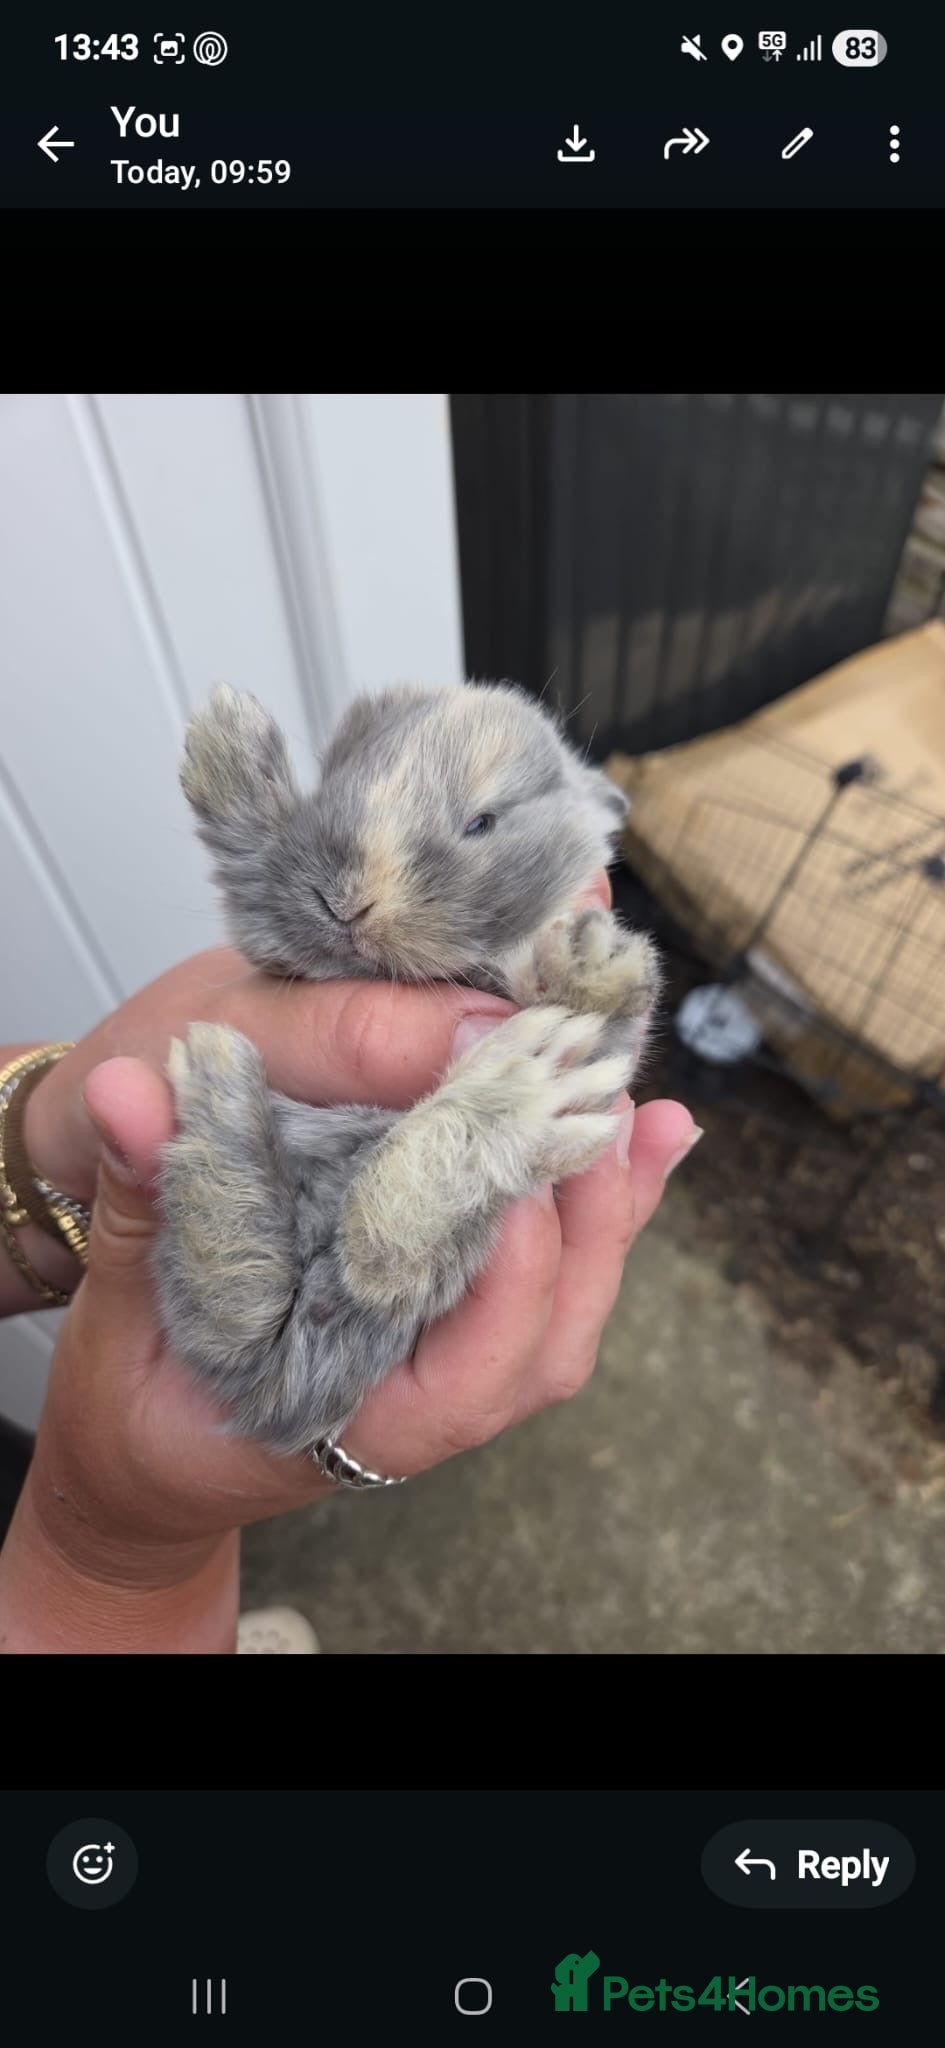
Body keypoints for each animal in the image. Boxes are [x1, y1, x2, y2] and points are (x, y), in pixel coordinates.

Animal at [154, 681, 661, 1454]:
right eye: (335, 784)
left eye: (484, 821)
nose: (345, 902)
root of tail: (278, 1395)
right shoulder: (273, 935)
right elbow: (256, 867)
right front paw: (226, 732)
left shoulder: (604, 1053)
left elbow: (593, 1015)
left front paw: (591, 962)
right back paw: (219, 1084)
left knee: (374, 1256)